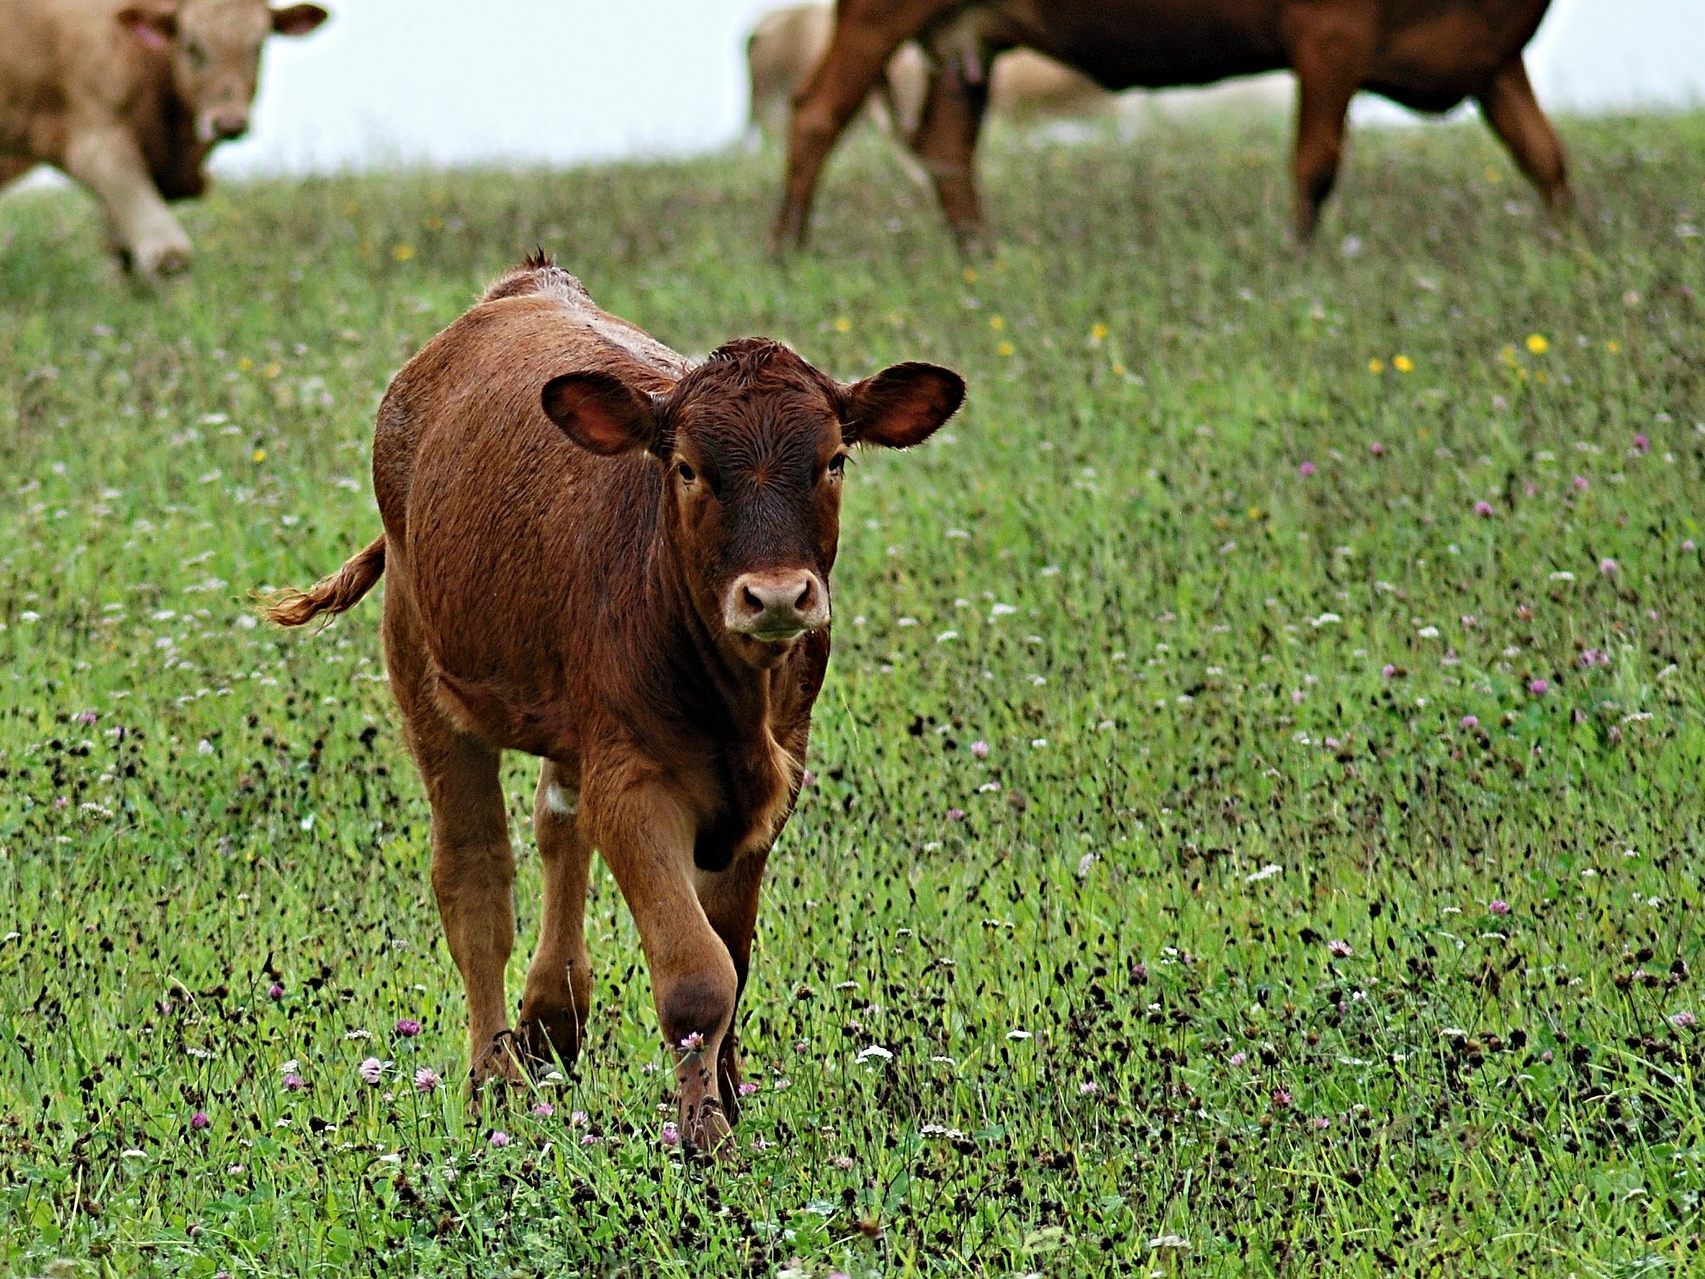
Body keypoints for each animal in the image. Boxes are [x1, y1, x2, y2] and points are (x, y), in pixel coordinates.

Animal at [0, 0, 329, 277]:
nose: (229, 122)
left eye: (257, 46)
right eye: (192, 45)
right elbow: (169, 254)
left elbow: (123, 252)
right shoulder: (97, 147)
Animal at [265, 255, 961, 1159]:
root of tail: (524, 286)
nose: (777, 595)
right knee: (474, 874)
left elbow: (732, 953)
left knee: (558, 822)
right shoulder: (634, 780)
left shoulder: (775, 778)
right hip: (422, 665)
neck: (734, 698)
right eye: (688, 467)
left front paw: (726, 1095)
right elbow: (697, 973)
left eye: (834, 459)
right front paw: (705, 1136)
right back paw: (496, 1076)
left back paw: (551, 1019)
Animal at [777, 0, 1568, 252]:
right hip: (877, 15)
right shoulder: (1329, 35)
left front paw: (1573, 251)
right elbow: (1315, 165)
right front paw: (1299, 262)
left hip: (964, 44)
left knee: (947, 150)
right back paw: (787, 250)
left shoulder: (1494, 56)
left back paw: (980, 255)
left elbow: (1545, 157)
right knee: (815, 116)